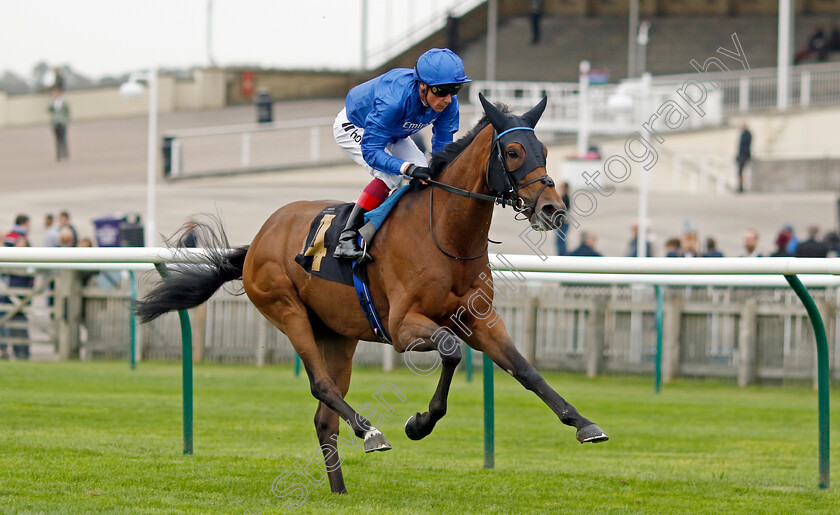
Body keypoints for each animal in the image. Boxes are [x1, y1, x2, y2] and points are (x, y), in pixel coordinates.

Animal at [139, 95, 612, 496]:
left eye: (545, 151)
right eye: (512, 152)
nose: (553, 209)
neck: (446, 235)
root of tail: (257, 239)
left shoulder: (481, 318)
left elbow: (525, 369)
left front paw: (584, 423)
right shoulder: (403, 327)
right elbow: (451, 351)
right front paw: (419, 423)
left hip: (338, 335)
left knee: (324, 416)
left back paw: (340, 491)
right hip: (287, 311)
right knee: (321, 386)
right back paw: (370, 432)